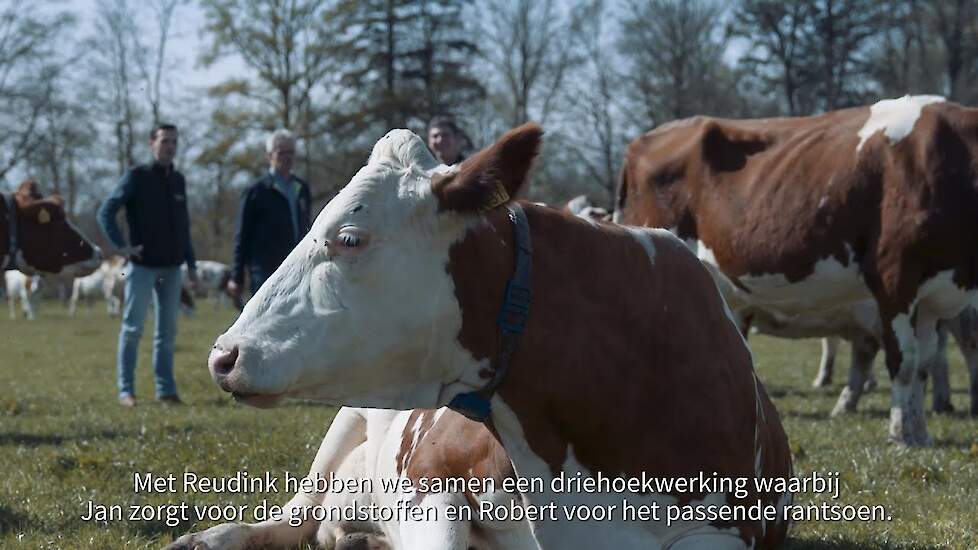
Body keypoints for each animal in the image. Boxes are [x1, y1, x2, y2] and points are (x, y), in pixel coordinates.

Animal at [612, 96, 976, 448]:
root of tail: (642, 141)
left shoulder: (934, 295)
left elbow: (923, 365)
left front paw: (920, 433)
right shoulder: (894, 278)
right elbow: (904, 362)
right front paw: (900, 434)